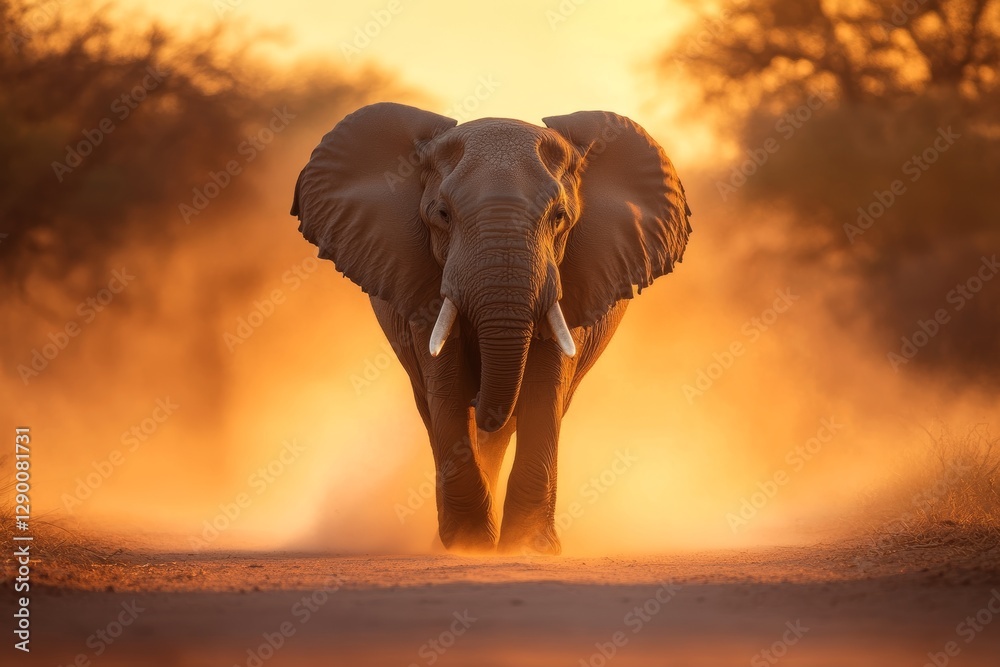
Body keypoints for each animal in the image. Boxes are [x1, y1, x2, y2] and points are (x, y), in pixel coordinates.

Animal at [290, 102, 691, 555]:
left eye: (559, 217)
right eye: (442, 215)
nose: (481, 394)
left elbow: (543, 389)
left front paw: (530, 547)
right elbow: (447, 385)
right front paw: (469, 543)